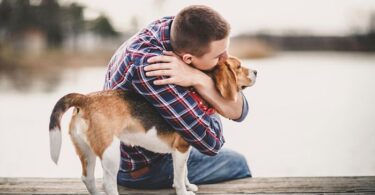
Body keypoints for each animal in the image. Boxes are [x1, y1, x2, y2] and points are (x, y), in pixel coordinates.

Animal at [48, 55, 258, 194]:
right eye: (238, 66)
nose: (256, 71)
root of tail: (85, 99)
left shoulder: (184, 149)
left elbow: (185, 173)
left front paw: (189, 185)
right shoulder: (181, 148)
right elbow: (179, 178)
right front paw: (184, 191)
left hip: (85, 150)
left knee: (87, 178)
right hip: (110, 152)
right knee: (107, 183)